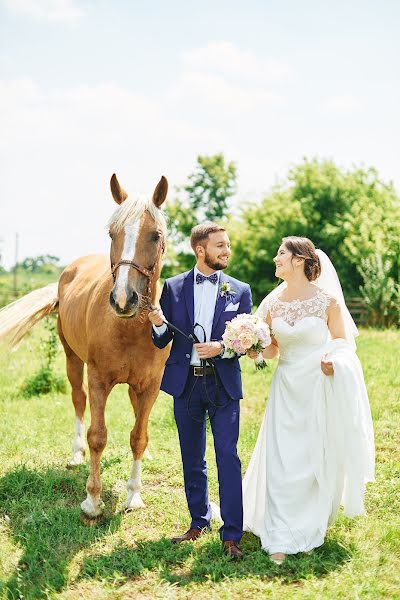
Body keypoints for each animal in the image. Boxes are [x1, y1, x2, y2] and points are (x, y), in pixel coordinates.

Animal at [0, 172, 170, 516]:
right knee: (78, 400)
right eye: (112, 233)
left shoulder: (150, 384)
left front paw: (134, 495)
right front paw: (92, 500)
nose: (123, 299)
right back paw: (76, 454)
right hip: (71, 358)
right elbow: (97, 436)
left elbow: (138, 436)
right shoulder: (98, 379)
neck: (129, 328)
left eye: (155, 235)